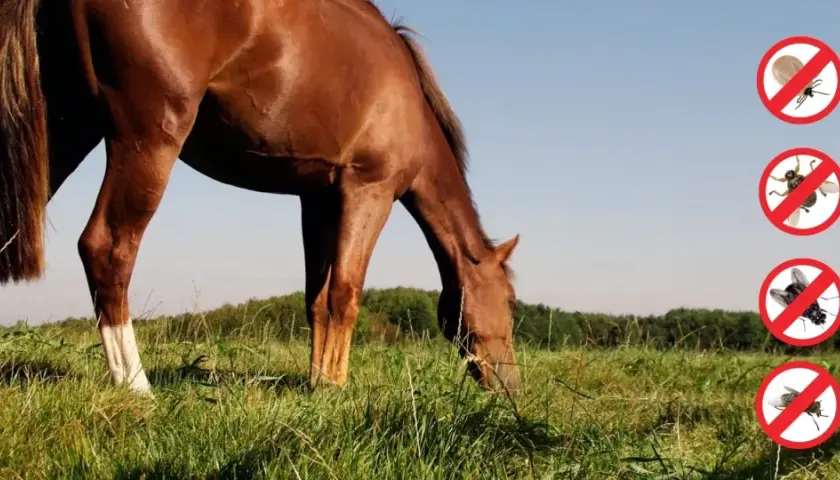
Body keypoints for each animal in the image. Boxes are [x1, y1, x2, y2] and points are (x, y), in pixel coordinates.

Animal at [0, 0, 521, 397]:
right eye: (511, 301)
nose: (512, 387)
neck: (406, 97)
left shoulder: (318, 200)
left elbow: (317, 297)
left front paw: (317, 381)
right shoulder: (367, 192)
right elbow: (345, 293)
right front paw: (336, 386)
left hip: (66, 132)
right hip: (146, 140)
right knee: (107, 249)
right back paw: (137, 386)